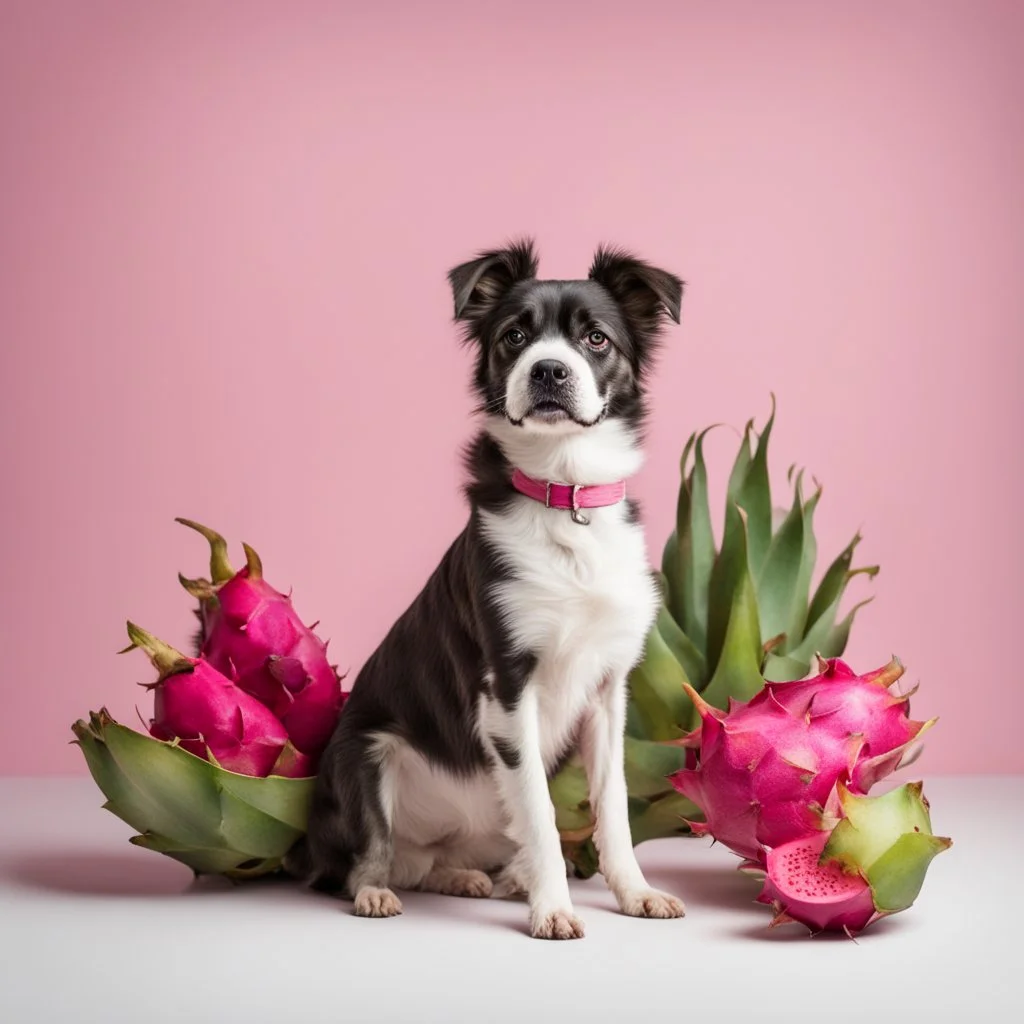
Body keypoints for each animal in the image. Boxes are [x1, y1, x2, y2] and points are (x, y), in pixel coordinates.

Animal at [288, 237, 688, 937]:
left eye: (596, 338)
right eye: (514, 336)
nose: (548, 371)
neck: (565, 492)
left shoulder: (609, 691)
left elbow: (612, 809)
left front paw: (635, 892)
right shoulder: (508, 684)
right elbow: (543, 814)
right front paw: (553, 908)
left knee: (439, 861)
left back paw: (479, 878)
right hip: (363, 754)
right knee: (371, 858)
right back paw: (378, 891)